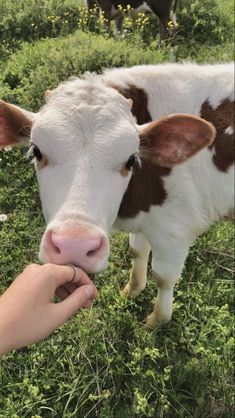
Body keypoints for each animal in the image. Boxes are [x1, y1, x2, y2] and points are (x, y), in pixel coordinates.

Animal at [0, 62, 233, 330]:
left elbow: (163, 277)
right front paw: (132, 289)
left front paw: (157, 320)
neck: (134, 207)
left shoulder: (175, 228)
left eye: (131, 160)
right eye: (37, 151)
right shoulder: (148, 219)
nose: (74, 246)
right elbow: (137, 251)